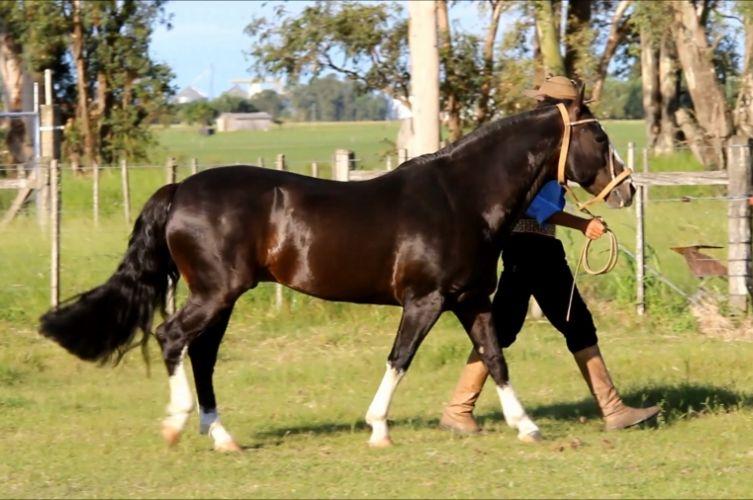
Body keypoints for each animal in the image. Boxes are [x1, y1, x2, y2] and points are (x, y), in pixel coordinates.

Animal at [39, 87, 628, 454]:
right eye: (599, 137)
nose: (626, 190)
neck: (461, 198)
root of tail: (180, 189)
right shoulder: (426, 300)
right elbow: (400, 358)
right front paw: (378, 429)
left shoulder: (472, 299)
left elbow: (494, 357)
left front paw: (526, 427)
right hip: (214, 293)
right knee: (171, 338)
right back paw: (176, 425)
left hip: (221, 297)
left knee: (201, 354)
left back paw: (222, 436)